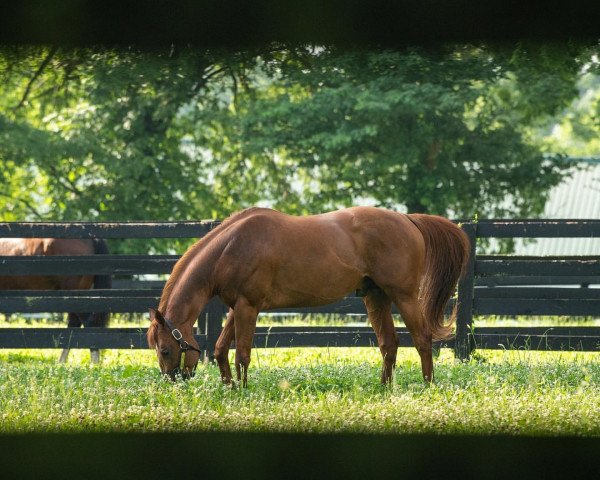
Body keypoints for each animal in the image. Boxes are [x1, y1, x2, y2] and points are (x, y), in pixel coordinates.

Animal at [148, 207, 472, 386]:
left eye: (165, 350)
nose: (171, 381)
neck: (231, 247)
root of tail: (407, 219)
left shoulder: (248, 308)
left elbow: (242, 354)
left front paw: (242, 389)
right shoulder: (236, 308)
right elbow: (219, 349)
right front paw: (229, 387)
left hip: (403, 296)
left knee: (422, 340)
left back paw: (428, 384)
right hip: (376, 297)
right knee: (389, 344)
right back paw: (384, 387)